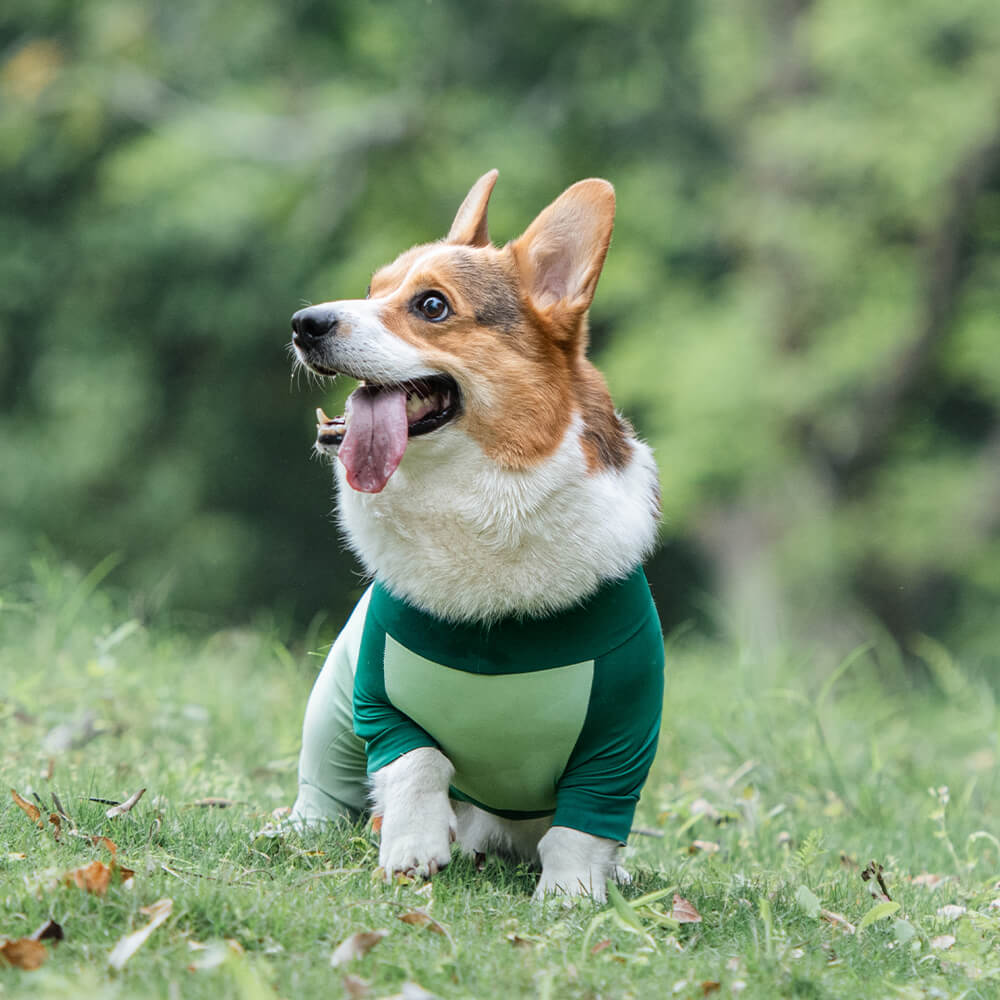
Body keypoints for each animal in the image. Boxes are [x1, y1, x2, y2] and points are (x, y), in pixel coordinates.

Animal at [290, 170, 664, 900]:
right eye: (374, 288)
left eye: (431, 305)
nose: (303, 323)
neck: (483, 505)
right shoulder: (379, 703)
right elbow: (418, 764)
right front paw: (413, 848)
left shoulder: (620, 736)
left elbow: (582, 827)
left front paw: (571, 895)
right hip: (330, 711)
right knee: (323, 789)